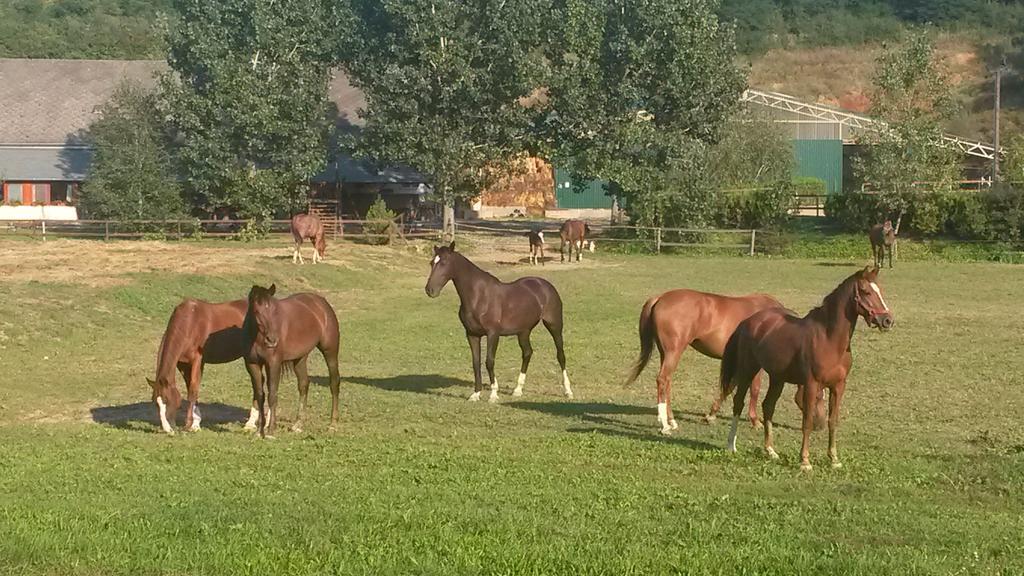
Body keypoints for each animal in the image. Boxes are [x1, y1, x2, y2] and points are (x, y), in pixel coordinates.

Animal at [147, 297, 248, 432]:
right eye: (155, 403)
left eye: (167, 400)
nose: (167, 429)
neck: (189, 323)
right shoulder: (182, 364)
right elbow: (190, 387)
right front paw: (196, 422)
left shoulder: (197, 361)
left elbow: (193, 389)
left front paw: (190, 424)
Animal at [244, 282, 342, 434]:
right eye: (256, 311)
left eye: (275, 311)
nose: (272, 340)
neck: (258, 338)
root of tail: (321, 302)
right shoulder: (252, 364)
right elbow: (259, 394)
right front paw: (258, 429)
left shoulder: (274, 363)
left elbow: (272, 395)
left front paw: (270, 429)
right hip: (300, 359)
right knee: (303, 385)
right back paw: (298, 424)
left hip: (330, 351)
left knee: (334, 382)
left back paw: (333, 424)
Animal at [419, 240, 573, 399]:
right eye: (431, 262)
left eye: (444, 263)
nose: (430, 290)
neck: (479, 296)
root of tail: (545, 285)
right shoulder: (472, 334)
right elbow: (476, 363)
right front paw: (476, 394)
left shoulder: (493, 334)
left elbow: (489, 361)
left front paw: (493, 394)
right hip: (523, 331)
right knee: (527, 353)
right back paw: (518, 390)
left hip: (554, 325)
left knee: (560, 355)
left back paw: (568, 391)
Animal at [618, 289, 827, 432]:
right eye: (818, 396)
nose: (820, 425)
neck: (775, 324)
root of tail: (660, 298)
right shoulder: (756, 366)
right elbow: (754, 390)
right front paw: (755, 421)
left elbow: (729, 387)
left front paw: (711, 415)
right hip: (673, 352)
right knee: (662, 380)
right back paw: (665, 425)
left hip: (666, 353)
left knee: (667, 382)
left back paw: (672, 420)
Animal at [720, 266, 897, 469]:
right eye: (866, 291)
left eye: (880, 290)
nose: (887, 320)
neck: (829, 339)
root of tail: (748, 322)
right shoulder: (812, 384)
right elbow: (807, 422)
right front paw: (805, 461)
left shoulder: (839, 386)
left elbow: (833, 421)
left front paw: (834, 459)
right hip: (748, 370)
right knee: (738, 402)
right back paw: (731, 446)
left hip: (777, 378)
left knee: (768, 406)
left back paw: (770, 451)